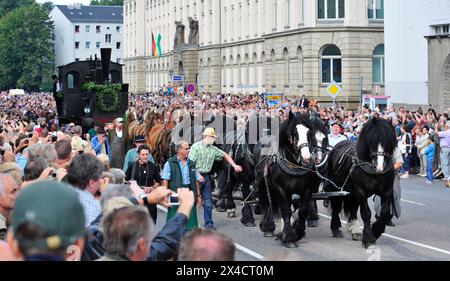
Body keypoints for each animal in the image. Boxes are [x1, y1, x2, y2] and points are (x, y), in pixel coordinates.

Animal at [253, 110, 324, 246]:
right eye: (294, 133)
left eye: (308, 132)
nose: (307, 157)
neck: (294, 164)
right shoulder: (281, 188)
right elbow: (286, 211)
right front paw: (289, 237)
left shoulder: (307, 189)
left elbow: (302, 211)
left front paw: (298, 233)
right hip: (262, 184)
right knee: (267, 203)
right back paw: (267, 227)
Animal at [326, 116, 396, 247]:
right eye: (373, 141)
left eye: (389, 142)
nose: (380, 167)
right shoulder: (361, 191)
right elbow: (366, 213)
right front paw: (369, 238)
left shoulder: (387, 191)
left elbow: (384, 212)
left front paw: (376, 230)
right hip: (336, 187)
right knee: (336, 205)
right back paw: (335, 228)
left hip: (352, 192)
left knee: (353, 207)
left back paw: (355, 230)